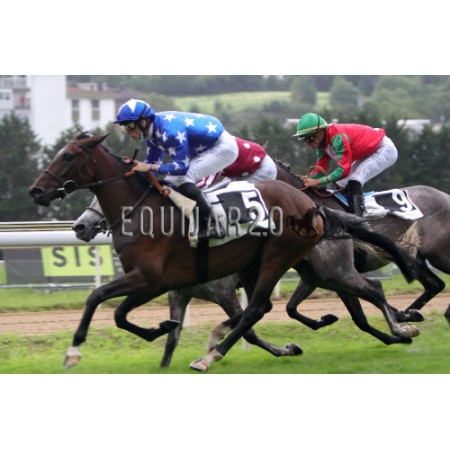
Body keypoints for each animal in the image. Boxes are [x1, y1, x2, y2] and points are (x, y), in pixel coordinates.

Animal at [274, 160, 450, 328]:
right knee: (435, 284)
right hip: (415, 259)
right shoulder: (321, 272)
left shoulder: (338, 270)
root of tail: (445, 195)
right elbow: (291, 307)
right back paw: (411, 314)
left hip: (440, 255)